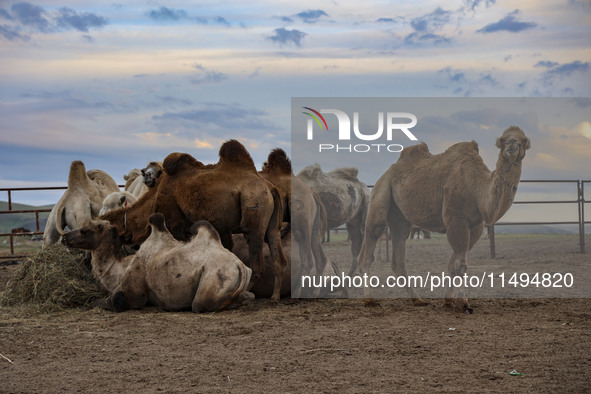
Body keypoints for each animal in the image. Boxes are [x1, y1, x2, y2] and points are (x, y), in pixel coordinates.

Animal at [63, 214, 253, 312]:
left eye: (84, 230)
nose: (65, 237)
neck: (120, 270)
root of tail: (241, 267)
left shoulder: (132, 293)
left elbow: (107, 301)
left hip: (215, 279)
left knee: (200, 304)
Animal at [100, 140, 288, 300]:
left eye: (110, 225)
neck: (156, 197)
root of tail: (270, 187)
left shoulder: (176, 224)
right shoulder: (222, 228)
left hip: (254, 206)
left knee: (256, 258)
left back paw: (245, 293)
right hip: (271, 222)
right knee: (277, 251)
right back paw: (274, 296)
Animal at [356, 127, 532, 312]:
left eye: (523, 140)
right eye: (503, 140)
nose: (512, 144)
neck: (477, 187)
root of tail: (387, 173)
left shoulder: (475, 227)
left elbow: (452, 264)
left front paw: (448, 301)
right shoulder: (456, 219)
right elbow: (460, 265)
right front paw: (464, 303)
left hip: (400, 217)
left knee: (399, 253)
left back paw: (418, 299)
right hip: (381, 193)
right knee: (370, 242)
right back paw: (369, 300)